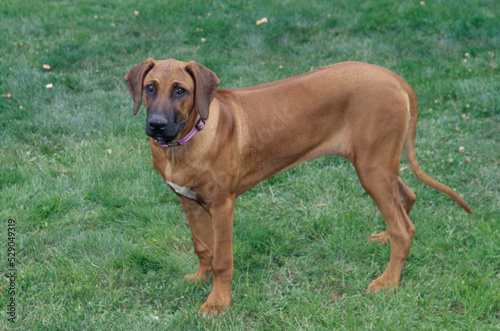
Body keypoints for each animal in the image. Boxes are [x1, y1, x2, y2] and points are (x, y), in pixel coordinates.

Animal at [125, 58, 472, 316]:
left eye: (180, 90)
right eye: (150, 87)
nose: (156, 125)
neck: (187, 139)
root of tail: (395, 78)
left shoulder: (223, 206)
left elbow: (223, 258)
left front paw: (218, 302)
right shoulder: (188, 201)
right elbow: (202, 246)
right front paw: (199, 278)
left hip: (372, 168)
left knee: (405, 227)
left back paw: (388, 281)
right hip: (376, 164)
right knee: (406, 198)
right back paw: (385, 238)